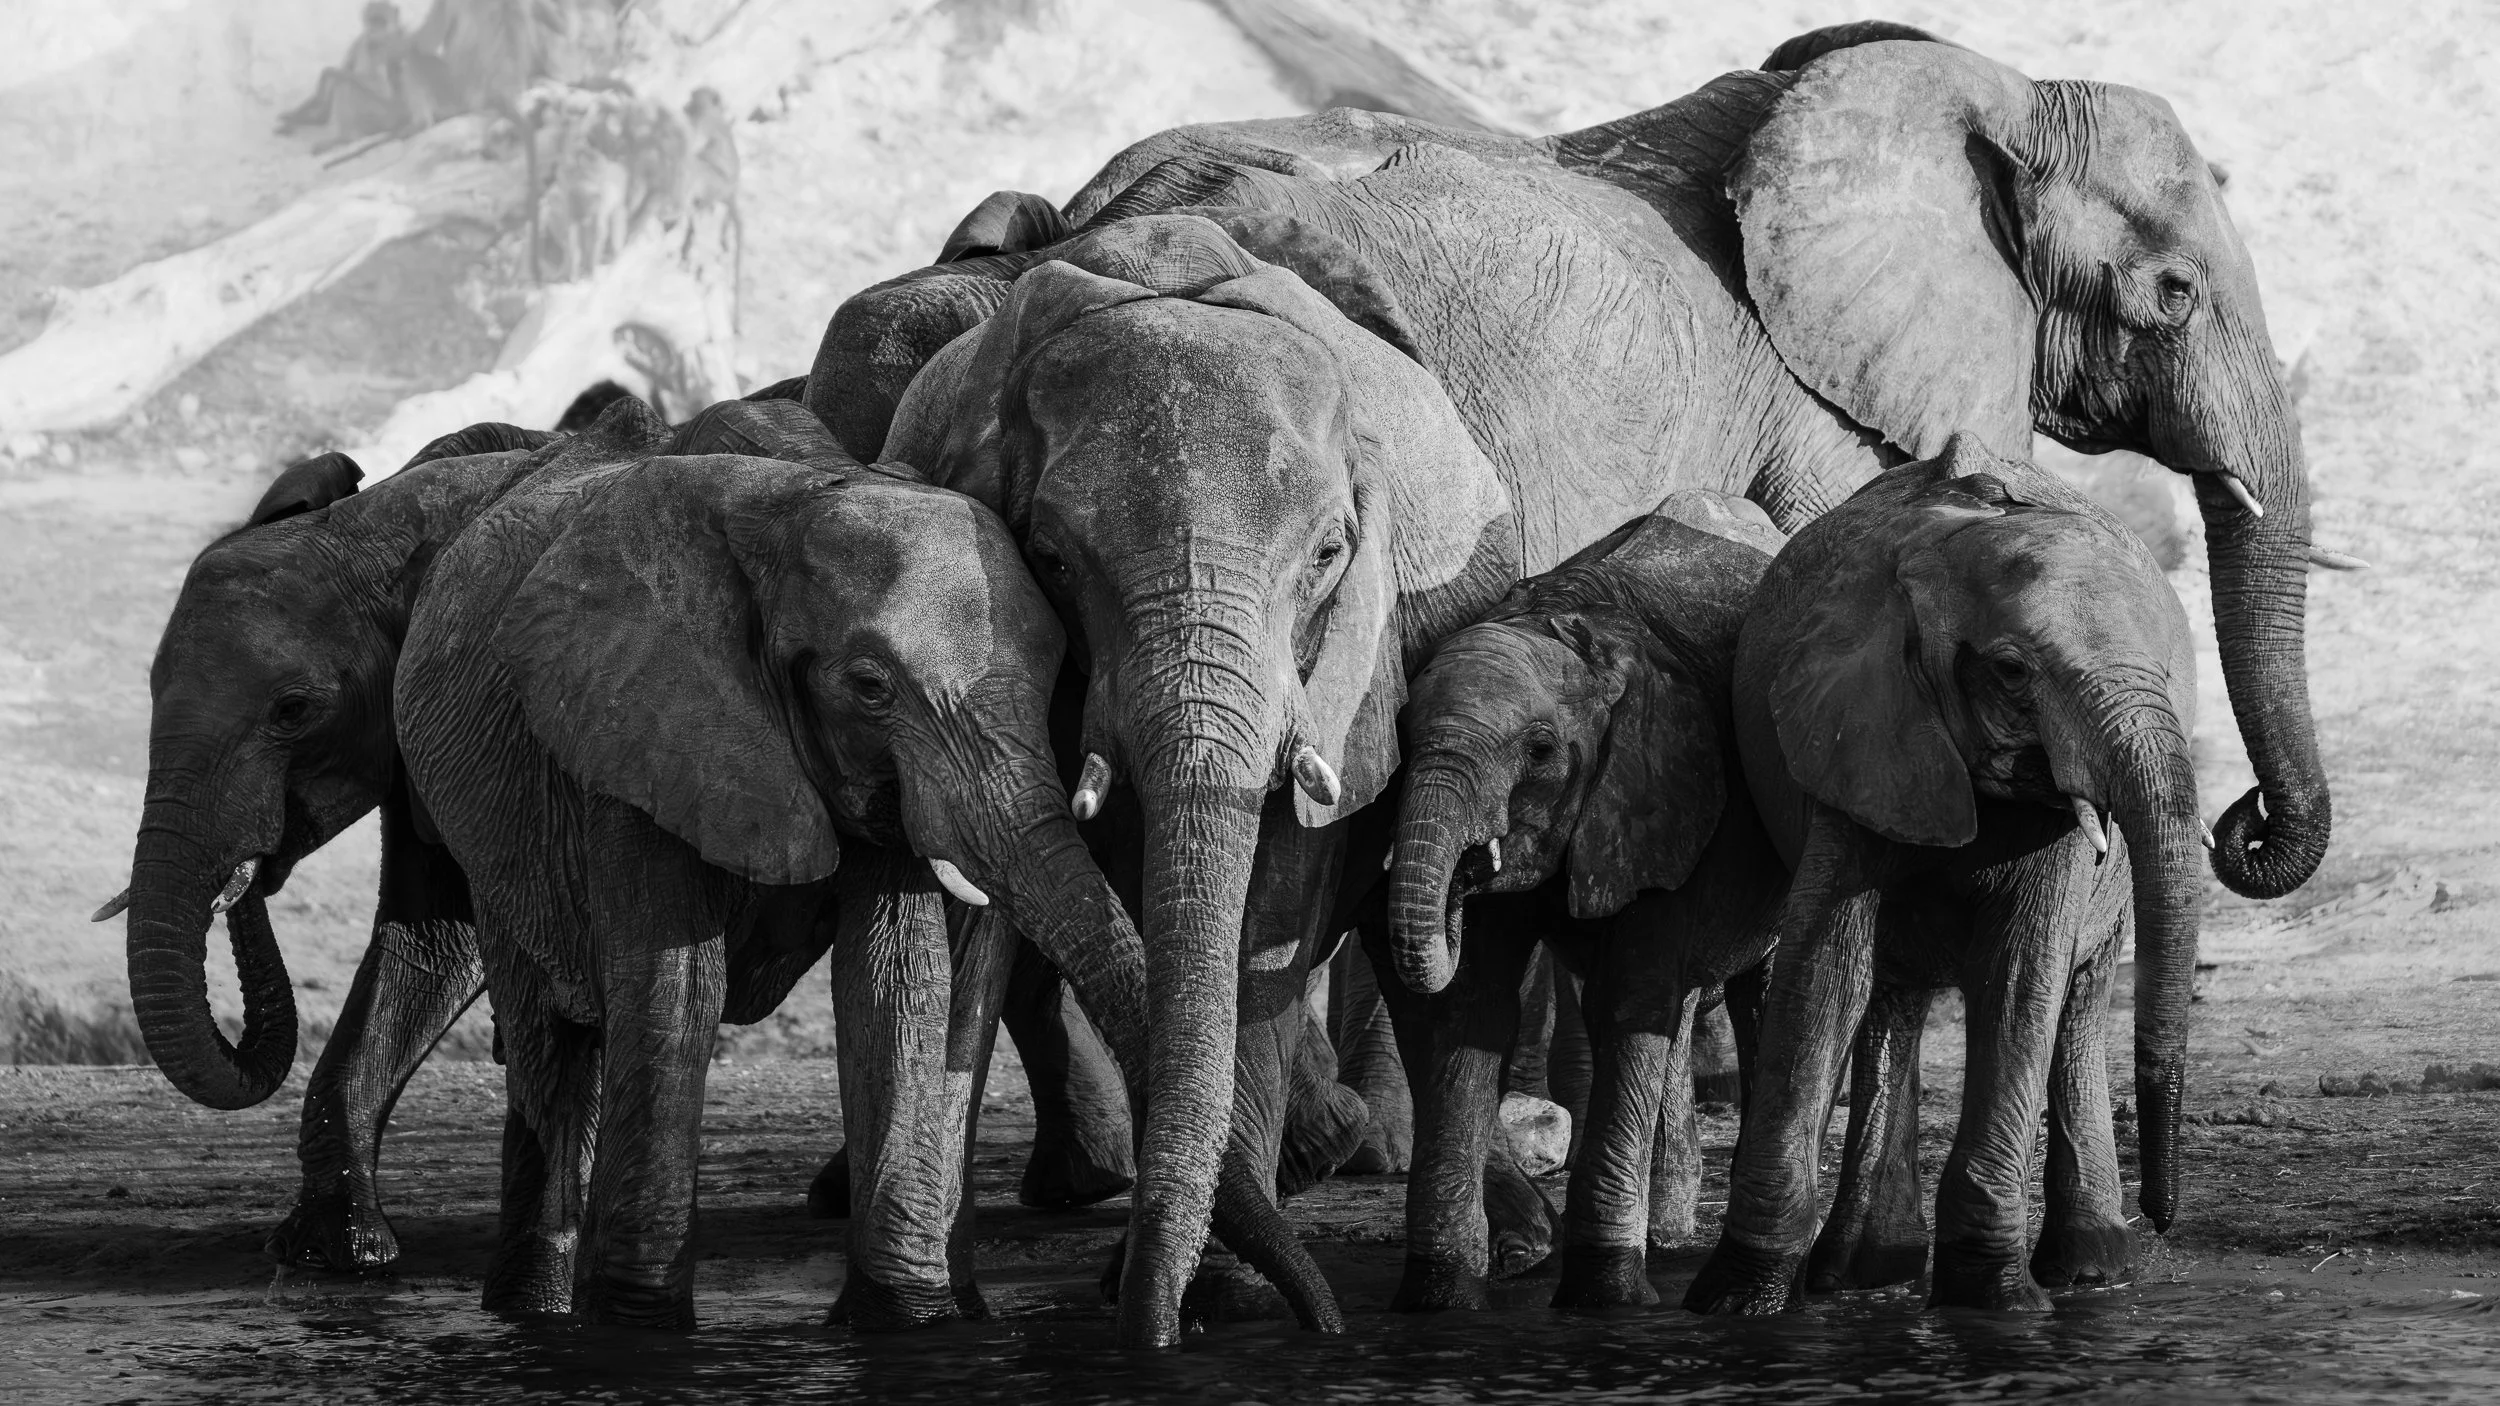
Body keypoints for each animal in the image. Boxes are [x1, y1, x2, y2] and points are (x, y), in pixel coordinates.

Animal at [1371, 493, 1791, 1312]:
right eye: (1402, 736)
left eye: (1539, 751)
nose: (1465, 871)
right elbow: (1475, 1008)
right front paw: (1440, 1300)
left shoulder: (1664, 791)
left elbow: (1627, 1000)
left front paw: (1606, 1299)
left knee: (1757, 985)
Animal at [1687, 436, 2203, 1315]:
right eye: (2012, 671)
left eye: (2169, 670)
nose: (2167, 1215)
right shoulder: (1853, 735)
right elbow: (1826, 973)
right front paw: (1736, 1301)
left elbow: (2022, 976)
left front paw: (1994, 1302)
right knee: (1890, 995)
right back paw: (1864, 1274)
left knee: (2076, 999)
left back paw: (2091, 1272)